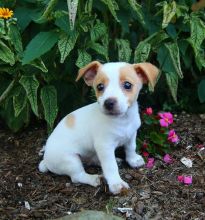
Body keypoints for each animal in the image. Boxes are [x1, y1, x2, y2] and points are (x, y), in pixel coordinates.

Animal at [38, 61, 160, 193]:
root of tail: (45, 160)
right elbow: (110, 166)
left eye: (127, 85)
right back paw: (94, 179)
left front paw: (133, 160)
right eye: (100, 87)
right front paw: (116, 183)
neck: (122, 120)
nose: (108, 102)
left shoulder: (131, 135)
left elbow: (131, 148)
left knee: (93, 160)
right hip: (71, 160)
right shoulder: (105, 146)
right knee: (77, 176)